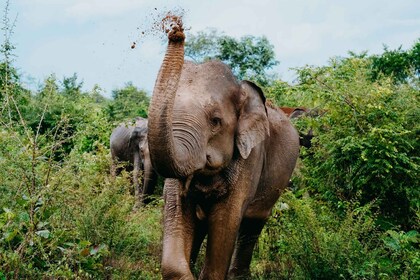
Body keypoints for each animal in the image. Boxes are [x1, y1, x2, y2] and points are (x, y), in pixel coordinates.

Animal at [146, 18, 300, 280]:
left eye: (215, 121)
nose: (175, 30)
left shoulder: (251, 157)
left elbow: (225, 221)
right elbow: (177, 211)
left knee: (252, 225)